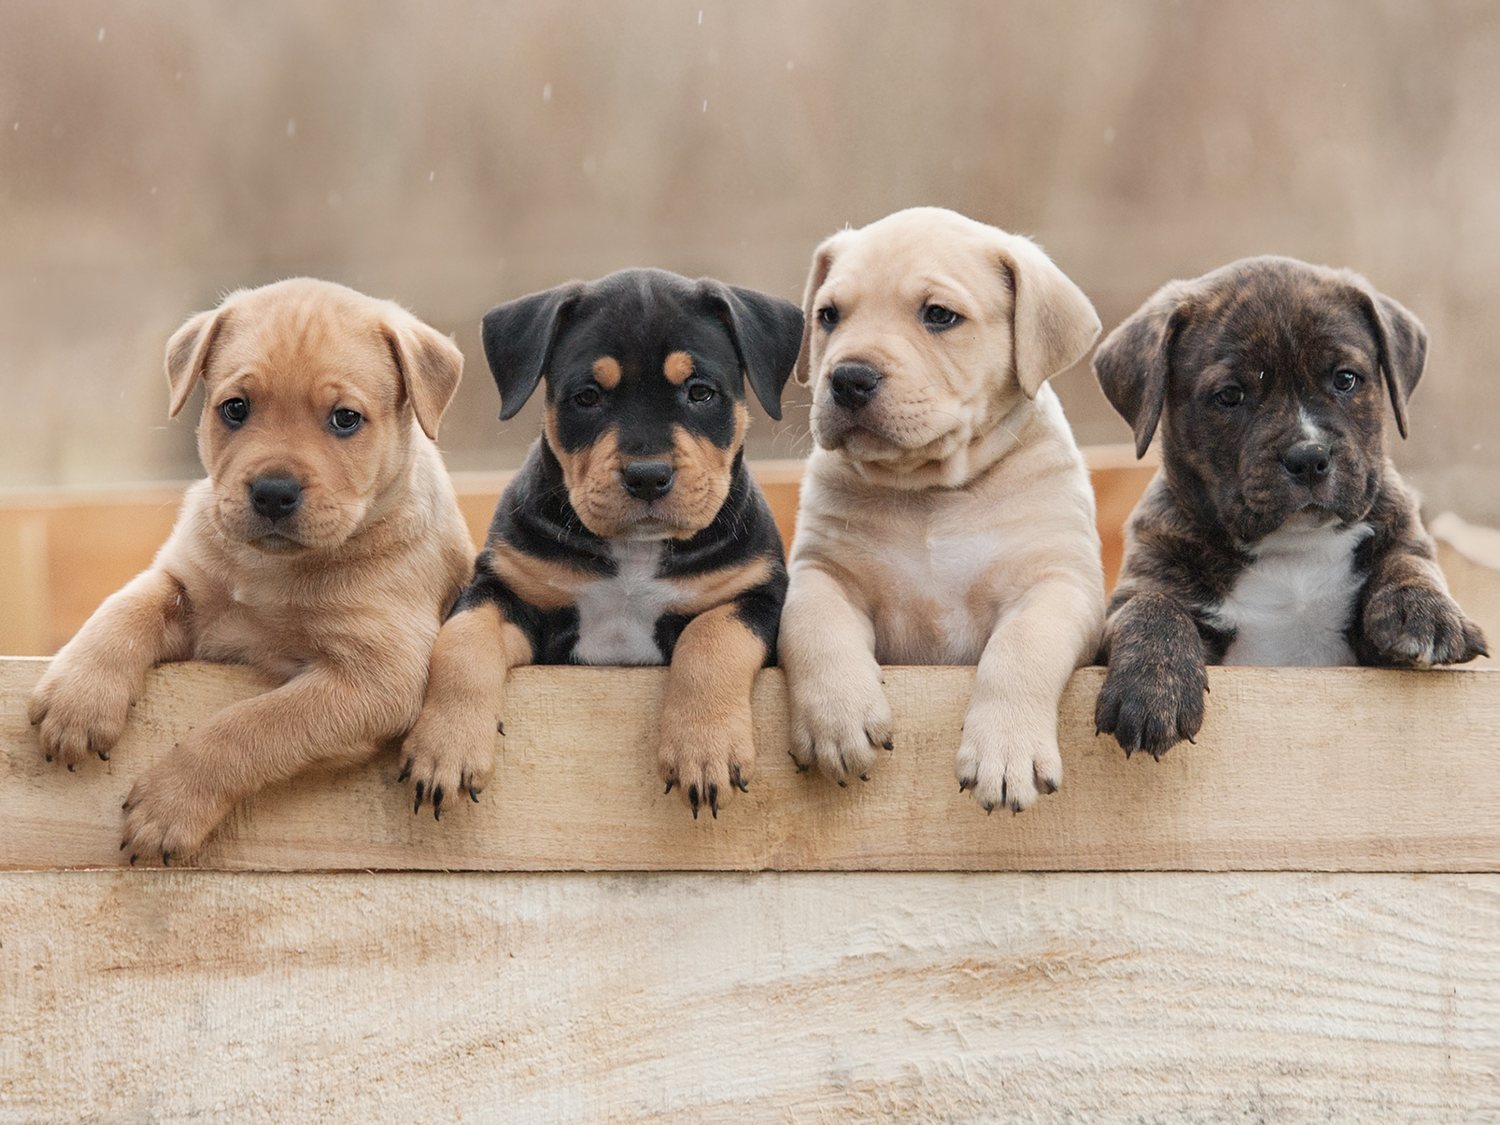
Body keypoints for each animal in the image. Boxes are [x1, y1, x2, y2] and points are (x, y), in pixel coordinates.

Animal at [29, 282, 474, 864]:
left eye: (345, 419)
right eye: (235, 408)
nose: (273, 493)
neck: (272, 568)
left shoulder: (376, 678)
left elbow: (251, 726)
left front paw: (171, 803)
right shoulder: (186, 588)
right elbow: (125, 608)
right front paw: (78, 699)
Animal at [396, 270, 798, 822]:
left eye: (700, 393)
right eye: (587, 397)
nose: (647, 476)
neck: (634, 553)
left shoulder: (758, 596)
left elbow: (711, 637)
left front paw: (704, 751)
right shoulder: (505, 593)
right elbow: (461, 643)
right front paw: (444, 750)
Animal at [780, 207, 1110, 816]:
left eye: (938, 315)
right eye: (828, 316)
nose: (848, 377)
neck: (931, 491)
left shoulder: (1058, 584)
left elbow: (1020, 648)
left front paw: (1006, 751)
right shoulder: (821, 571)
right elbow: (814, 625)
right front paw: (837, 718)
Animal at [1092, 259, 1488, 762]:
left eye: (1345, 379)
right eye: (1230, 396)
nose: (1308, 456)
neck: (1293, 548)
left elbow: (1409, 561)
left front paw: (1426, 613)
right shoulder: (1137, 588)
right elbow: (1150, 606)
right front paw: (1150, 689)